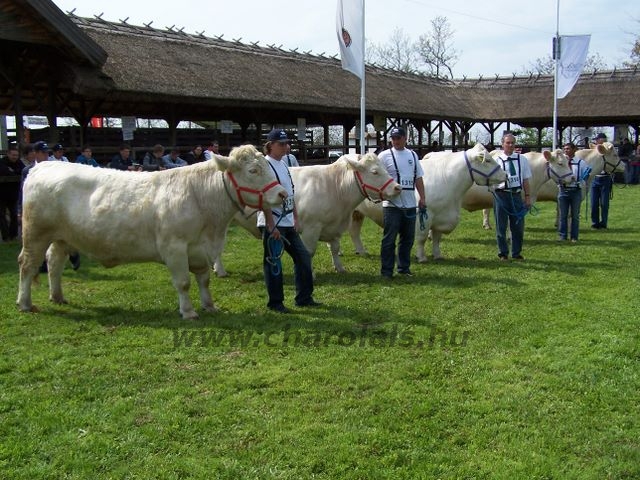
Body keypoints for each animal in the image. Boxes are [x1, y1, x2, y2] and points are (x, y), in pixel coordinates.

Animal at [16, 145, 286, 318]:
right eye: (253, 170)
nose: (282, 194)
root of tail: (44, 165)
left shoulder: (200, 249)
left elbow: (204, 280)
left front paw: (209, 306)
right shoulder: (174, 247)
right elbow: (183, 282)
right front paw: (188, 312)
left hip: (61, 237)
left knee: (54, 263)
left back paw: (57, 296)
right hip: (35, 234)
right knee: (28, 265)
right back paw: (25, 303)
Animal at [220, 154, 400, 274]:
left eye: (385, 168)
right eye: (375, 172)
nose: (397, 187)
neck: (336, 187)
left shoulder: (335, 227)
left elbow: (335, 248)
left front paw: (339, 267)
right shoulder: (311, 228)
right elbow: (309, 252)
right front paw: (310, 273)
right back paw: (220, 270)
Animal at [348, 142, 508, 262]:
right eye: (488, 160)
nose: (505, 175)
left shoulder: (441, 216)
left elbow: (437, 238)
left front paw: (437, 255)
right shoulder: (425, 215)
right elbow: (422, 238)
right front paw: (422, 257)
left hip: (357, 213)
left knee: (354, 232)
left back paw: (361, 251)